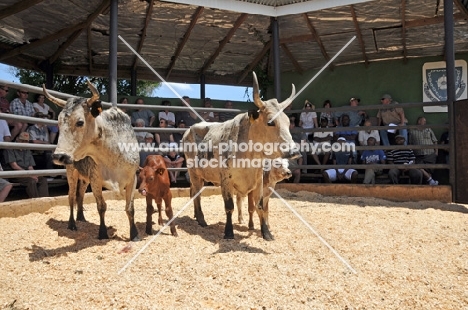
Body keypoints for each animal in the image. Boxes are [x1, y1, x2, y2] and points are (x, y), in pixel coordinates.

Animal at [44, 82, 141, 242]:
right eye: (58, 122)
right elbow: (101, 206)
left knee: (80, 195)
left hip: (84, 178)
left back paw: (81, 217)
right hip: (71, 172)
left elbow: (130, 208)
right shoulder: (96, 179)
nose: (58, 156)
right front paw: (102, 233)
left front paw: (134, 235)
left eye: (80, 122)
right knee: (71, 197)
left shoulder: (133, 179)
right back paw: (72, 224)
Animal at [183, 72, 300, 240]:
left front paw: (266, 233)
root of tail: (189, 130)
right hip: (194, 173)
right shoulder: (226, 180)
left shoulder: (258, 181)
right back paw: (201, 220)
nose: (294, 151)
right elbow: (229, 207)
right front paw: (229, 232)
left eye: (288, 121)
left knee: (193, 191)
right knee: (196, 194)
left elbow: (259, 206)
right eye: (270, 122)